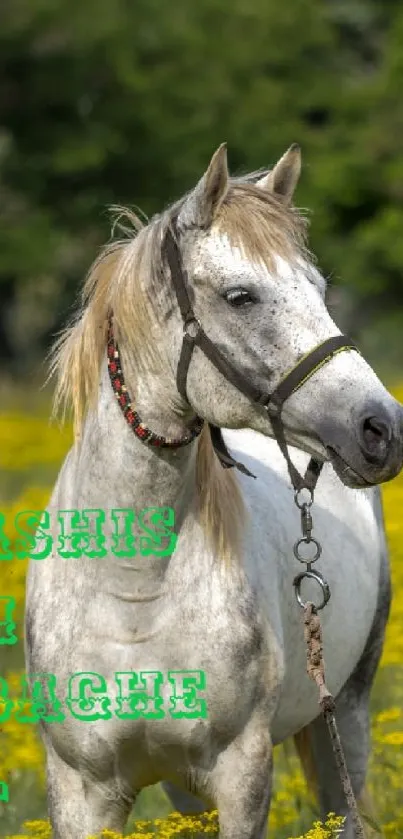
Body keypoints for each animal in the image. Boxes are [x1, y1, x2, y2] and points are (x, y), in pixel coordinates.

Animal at [26, 146, 403, 839]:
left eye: (320, 290)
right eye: (240, 296)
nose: (381, 428)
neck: (134, 588)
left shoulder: (241, 776)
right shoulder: (80, 791)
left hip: (347, 717)